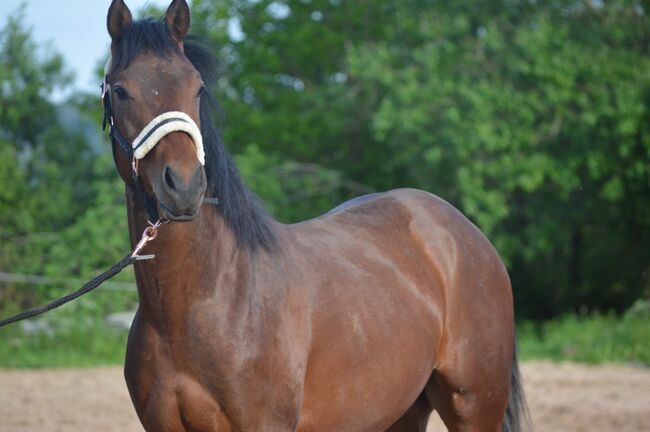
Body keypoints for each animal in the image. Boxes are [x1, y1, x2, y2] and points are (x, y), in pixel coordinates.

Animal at [102, 1, 528, 430]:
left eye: (198, 88)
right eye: (120, 91)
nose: (185, 186)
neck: (204, 301)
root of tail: (465, 233)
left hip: (474, 406)